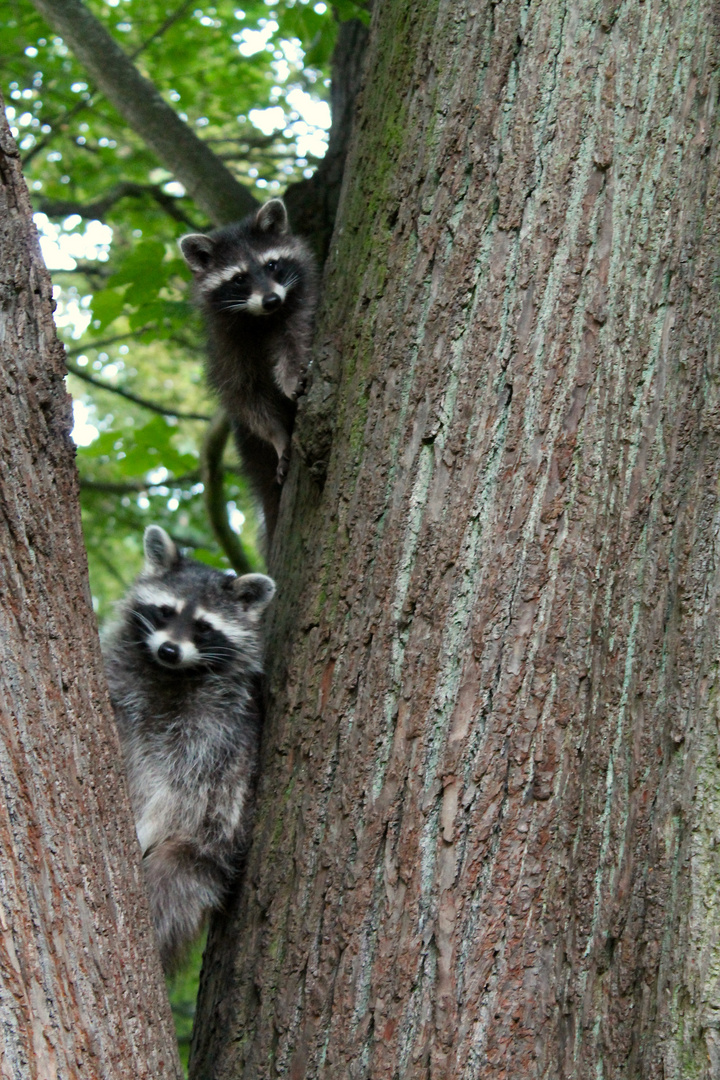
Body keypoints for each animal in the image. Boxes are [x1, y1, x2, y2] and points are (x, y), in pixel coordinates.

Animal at [102, 522, 278, 972]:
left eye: (203, 627)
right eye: (166, 611)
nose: (169, 649)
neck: (171, 674)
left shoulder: (216, 730)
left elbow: (180, 784)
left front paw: (145, 824)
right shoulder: (124, 681)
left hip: (206, 844)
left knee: (172, 887)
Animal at [179, 197, 317, 540]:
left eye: (271, 265)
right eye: (239, 278)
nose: (271, 299)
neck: (260, 319)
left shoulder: (299, 308)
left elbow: (295, 342)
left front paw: (291, 377)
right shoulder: (227, 349)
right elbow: (247, 398)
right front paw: (278, 435)